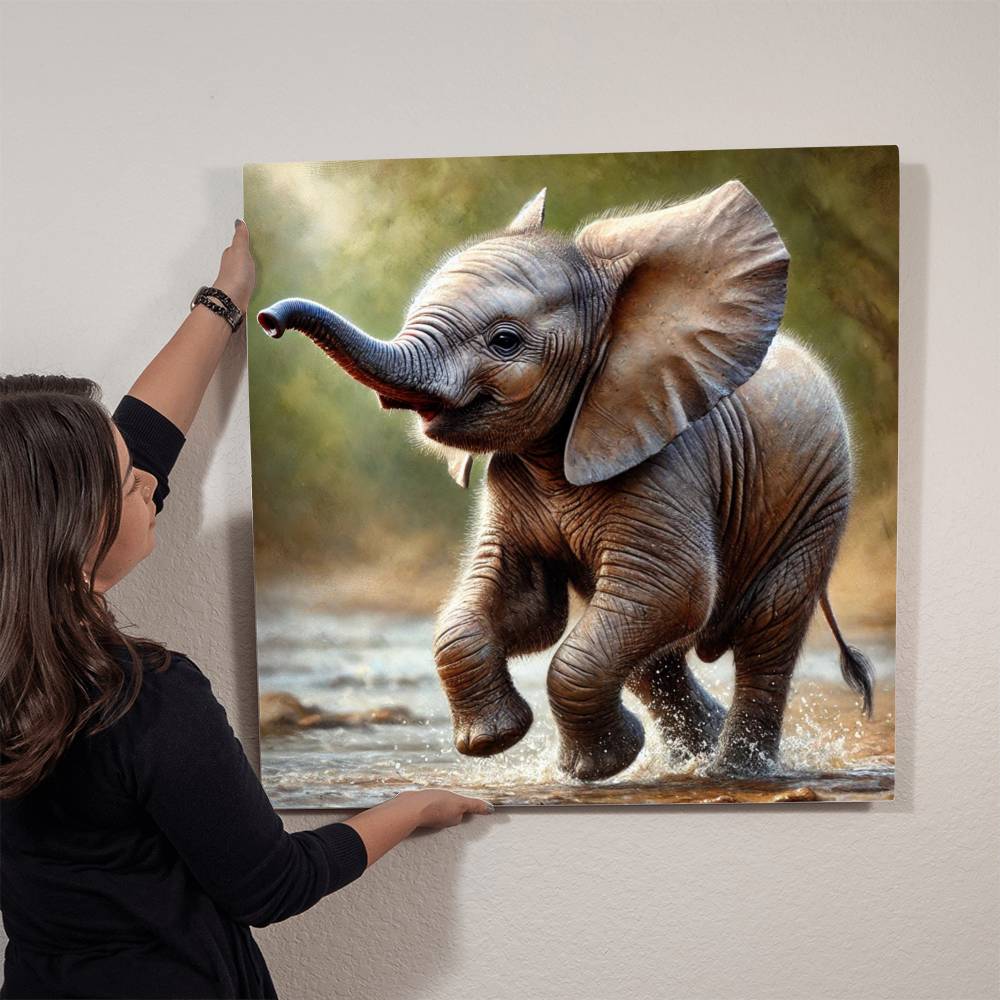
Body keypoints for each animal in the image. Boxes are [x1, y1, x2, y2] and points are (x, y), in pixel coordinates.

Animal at [257, 179, 874, 780]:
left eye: (504, 341)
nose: (267, 320)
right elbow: (522, 608)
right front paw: (495, 742)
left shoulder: (670, 461)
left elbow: (675, 590)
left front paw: (597, 768)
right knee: (649, 651)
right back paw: (690, 760)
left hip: (818, 502)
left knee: (764, 630)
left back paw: (733, 772)